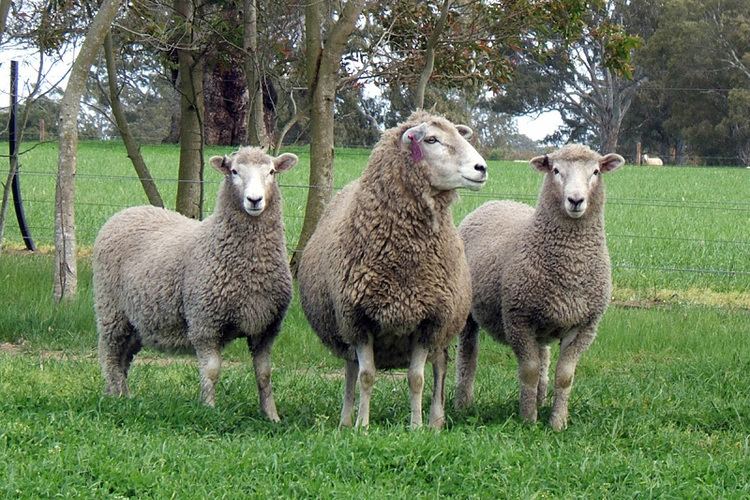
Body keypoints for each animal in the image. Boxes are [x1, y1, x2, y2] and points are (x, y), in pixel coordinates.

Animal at [93, 147, 298, 421]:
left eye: (272, 172)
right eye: (234, 171)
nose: (254, 200)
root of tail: (124, 213)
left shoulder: (265, 328)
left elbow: (264, 374)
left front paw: (272, 417)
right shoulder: (205, 323)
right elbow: (211, 371)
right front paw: (209, 410)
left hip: (138, 321)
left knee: (123, 357)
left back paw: (120, 395)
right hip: (111, 310)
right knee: (111, 355)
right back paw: (117, 398)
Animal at [297, 111, 488, 429]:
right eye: (432, 139)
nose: (482, 168)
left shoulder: (428, 321)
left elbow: (416, 378)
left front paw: (416, 426)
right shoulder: (358, 320)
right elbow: (366, 376)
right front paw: (362, 426)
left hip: (442, 330)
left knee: (440, 368)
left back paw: (436, 421)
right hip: (346, 329)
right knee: (351, 370)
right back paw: (345, 421)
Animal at [454, 144, 624, 431]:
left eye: (595, 171)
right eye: (555, 170)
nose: (576, 200)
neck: (571, 266)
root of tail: (495, 202)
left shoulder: (584, 326)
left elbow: (564, 376)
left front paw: (557, 422)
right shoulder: (518, 319)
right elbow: (529, 371)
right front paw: (528, 421)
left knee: (544, 357)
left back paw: (541, 400)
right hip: (469, 312)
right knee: (468, 354)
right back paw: (463, 403)